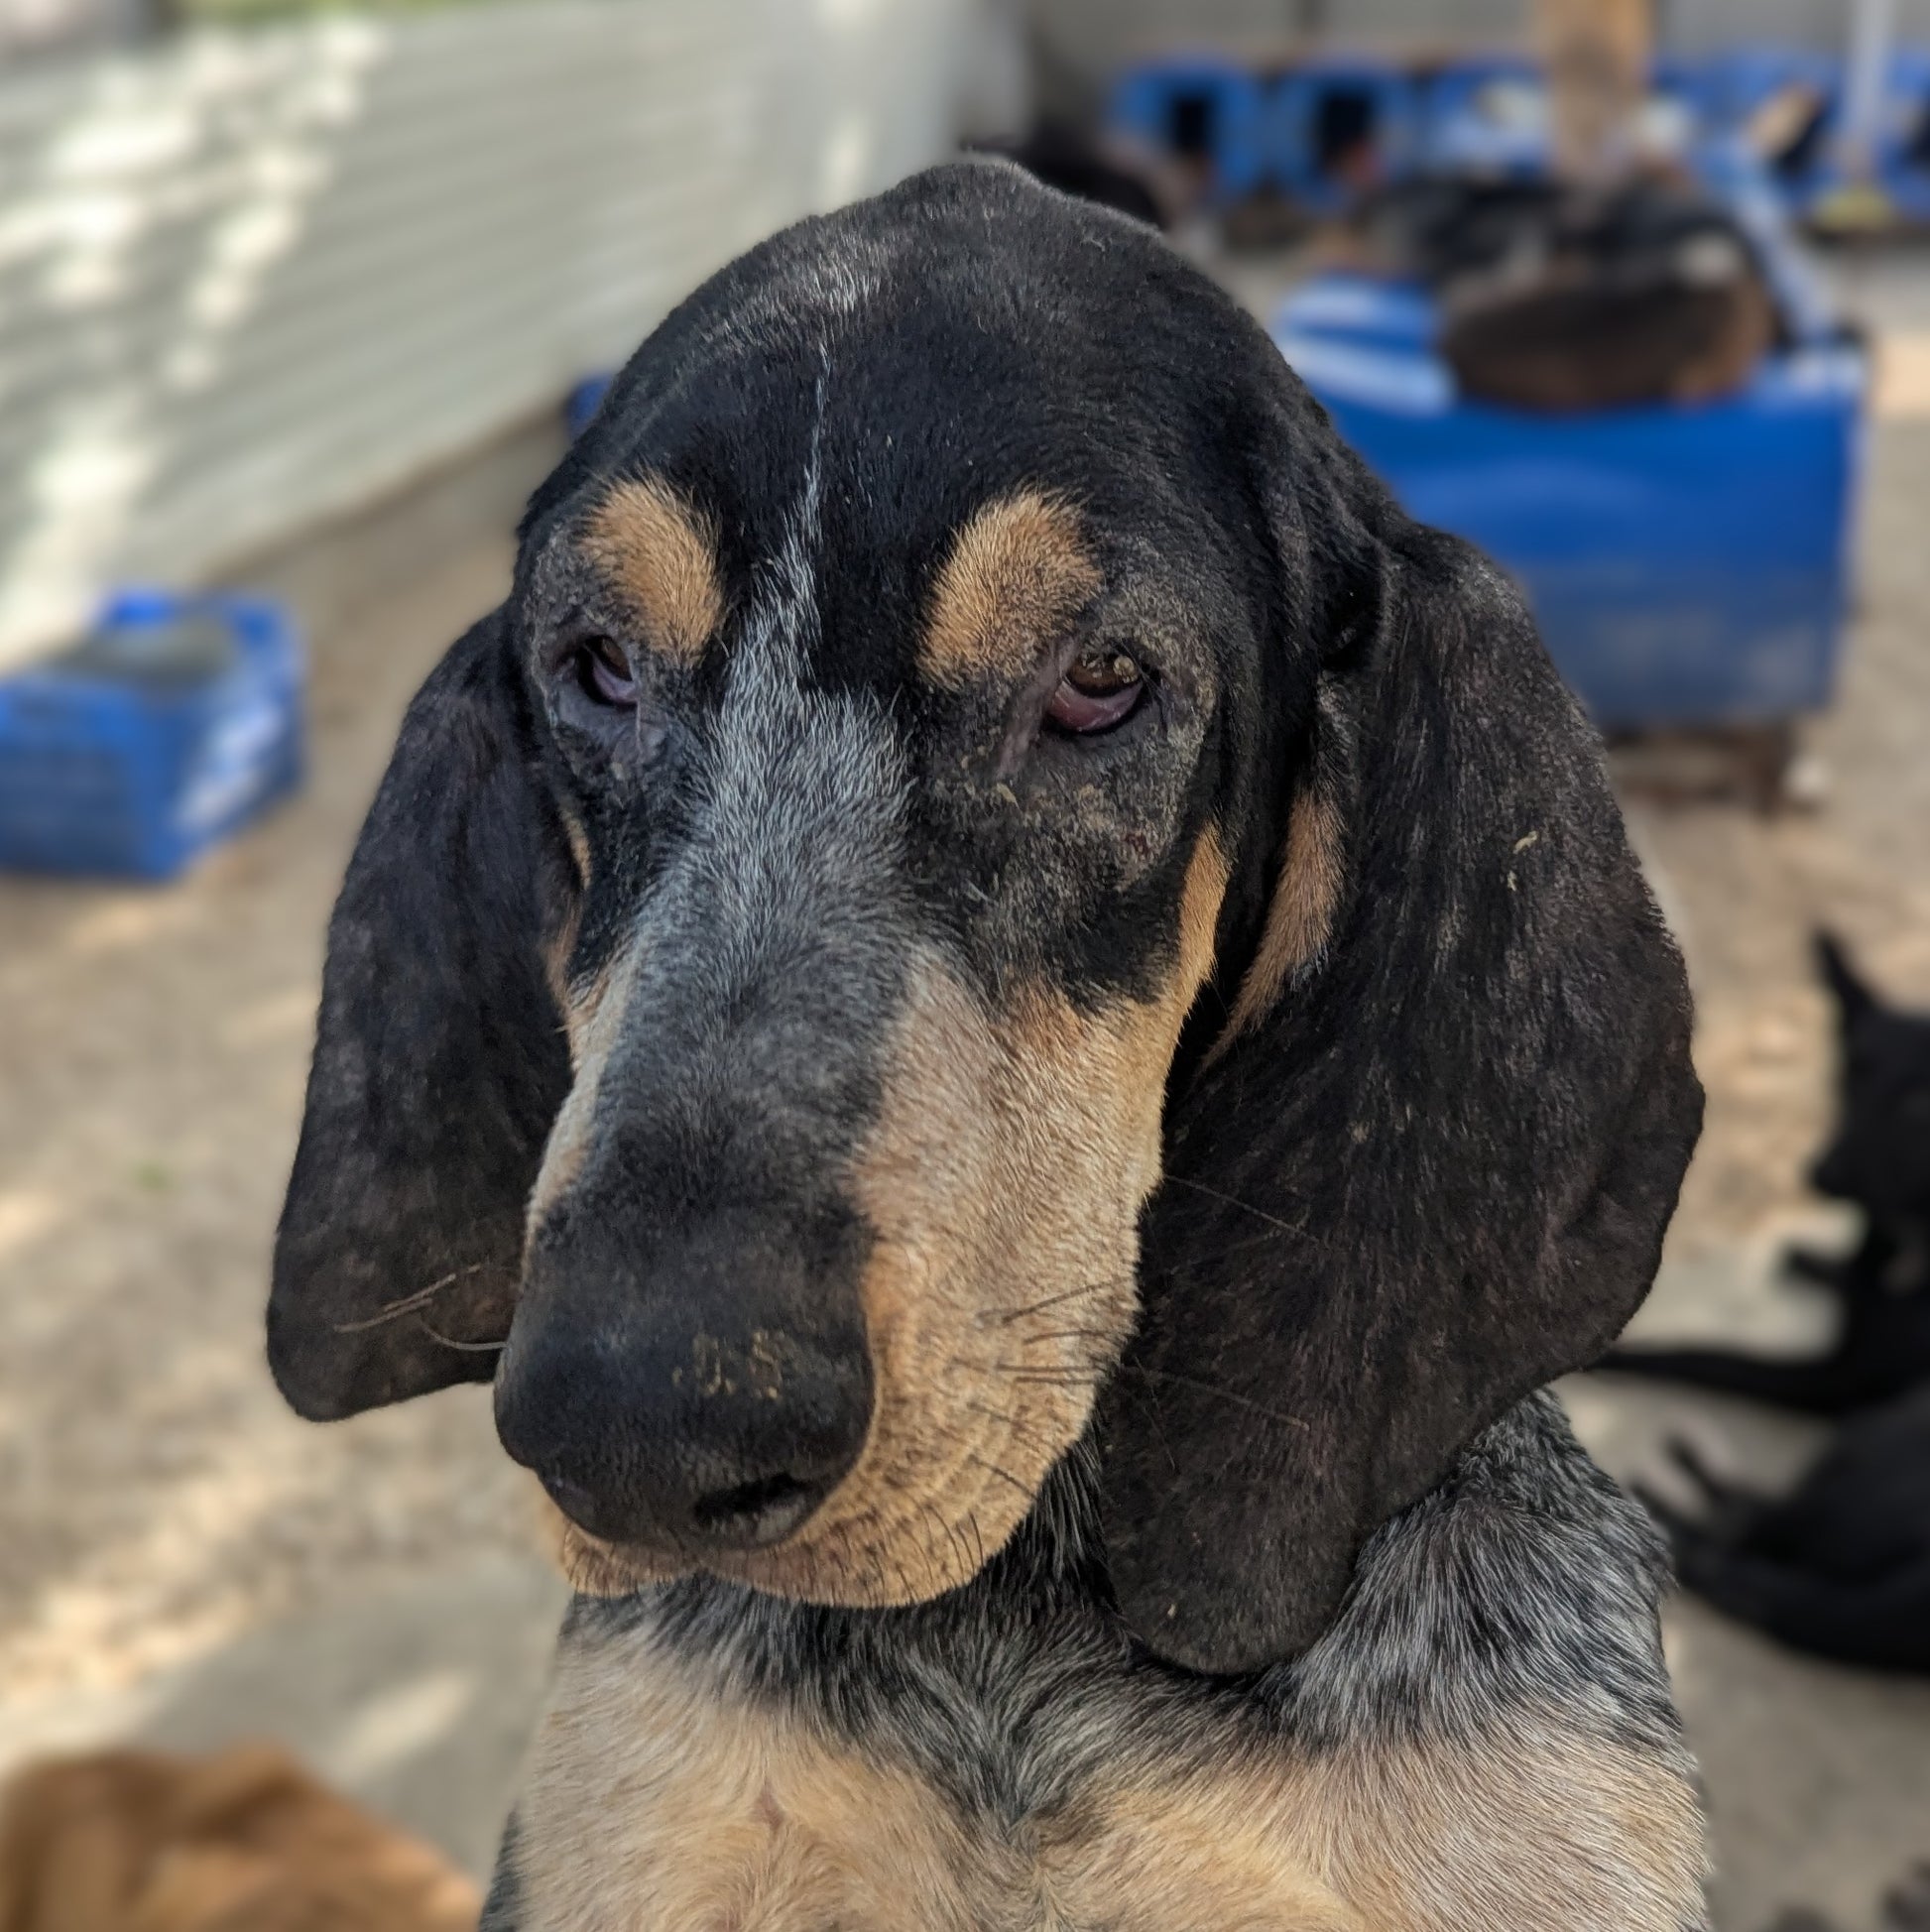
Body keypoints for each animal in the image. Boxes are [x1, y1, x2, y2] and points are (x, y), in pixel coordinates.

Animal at [1604, 932, 1930, 1414]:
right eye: (1850, 1073)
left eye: (1919, 1103)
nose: (1821, 1177)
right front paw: (1815, 1262)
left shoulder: (1833, 1381)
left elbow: (1698, 1355)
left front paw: (1619, 1358)